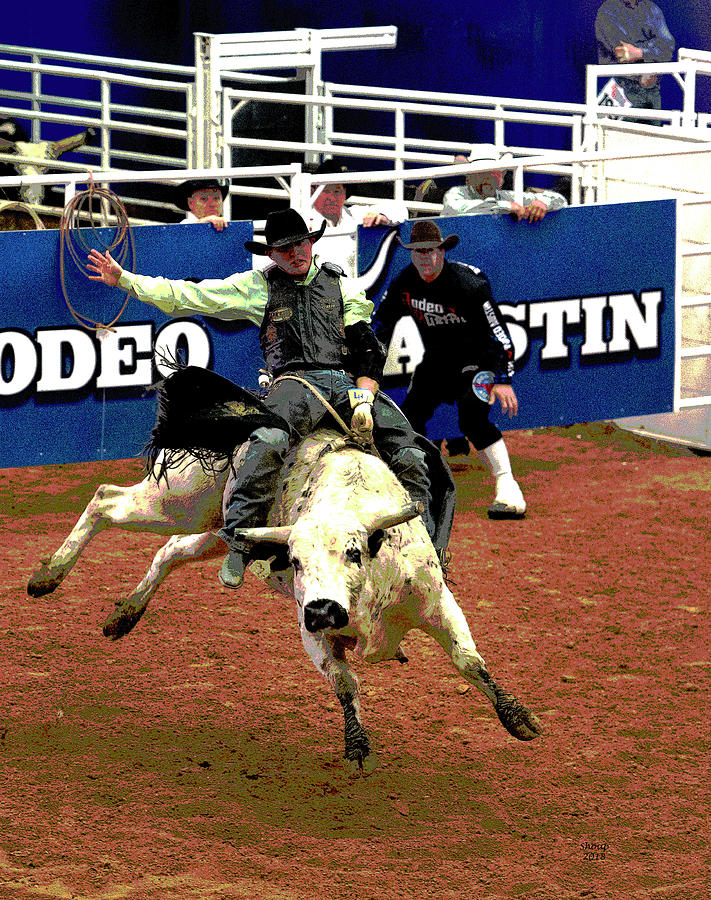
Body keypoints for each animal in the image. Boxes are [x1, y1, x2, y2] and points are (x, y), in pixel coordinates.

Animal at [26, 366, 540, 772]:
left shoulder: (437, 602)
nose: (324, 610)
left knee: (167, 549)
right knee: (105, 499)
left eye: (354, 552)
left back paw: (124, 615)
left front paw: (519, 719)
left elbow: (470, 661)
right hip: (179, 501)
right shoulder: (309, 630)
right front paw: (357, 746)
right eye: (294, 560)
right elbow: (345, 682)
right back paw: (48, 577)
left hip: (213, 529)